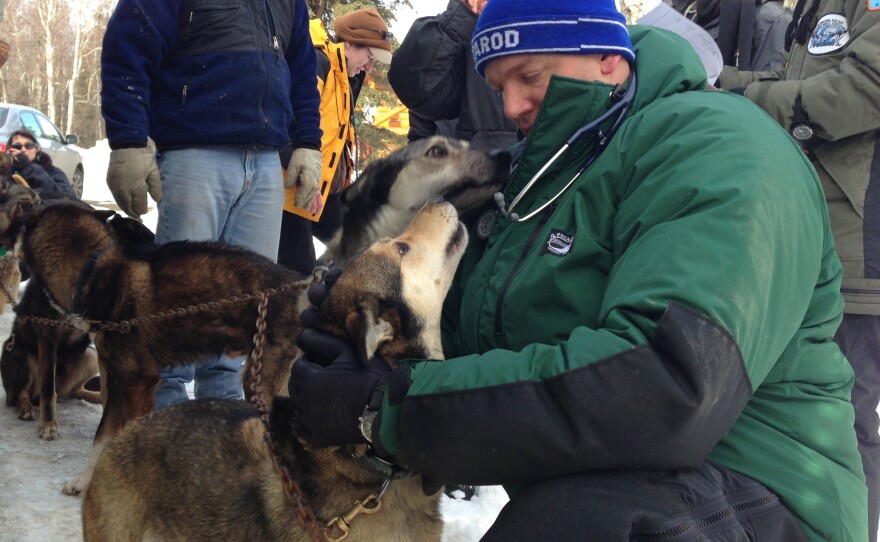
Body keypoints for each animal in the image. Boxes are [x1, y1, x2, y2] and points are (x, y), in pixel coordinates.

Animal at [0, 187, 312, 498]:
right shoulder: (133, 384)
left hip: (260, 384)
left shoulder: (134, 383)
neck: (91, 270)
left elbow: (104, 437)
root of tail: (302, 286)